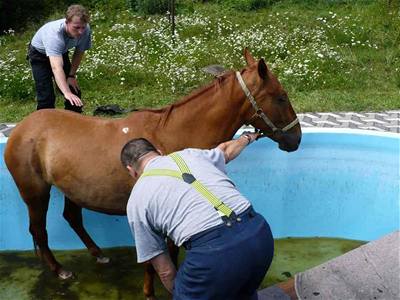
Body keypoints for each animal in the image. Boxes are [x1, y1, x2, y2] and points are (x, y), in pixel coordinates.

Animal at [4, 48, 302, 298]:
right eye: (281, 97)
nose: (296, 139)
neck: (171, 135)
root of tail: (21, 128)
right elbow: (157, 258)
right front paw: (149, 291)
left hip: (70, 190)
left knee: (72, 218)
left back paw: (98, 254)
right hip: (35, 194)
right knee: (38, 230)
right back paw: (60, 270)